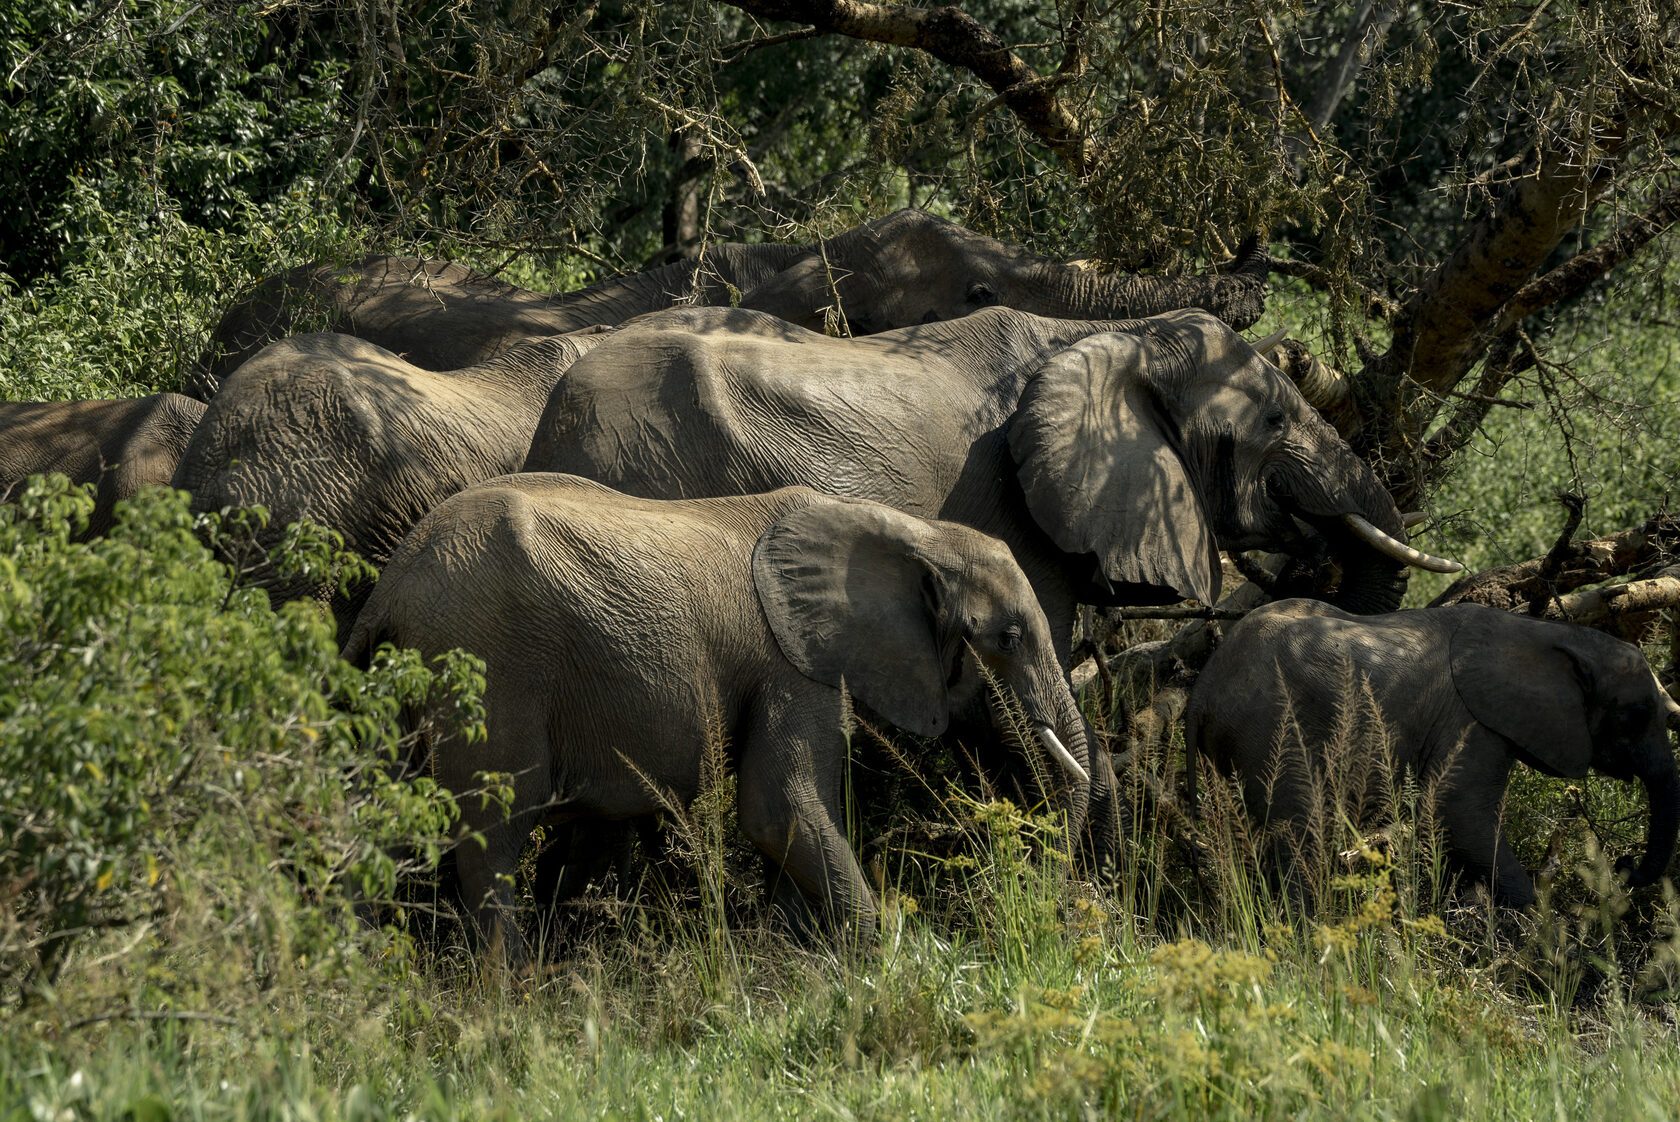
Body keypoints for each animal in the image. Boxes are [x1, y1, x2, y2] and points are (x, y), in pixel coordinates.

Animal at [341, 474, 1093, 957]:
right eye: (1009, 637)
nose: (1047, 910)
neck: (912, 531)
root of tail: (392, 588)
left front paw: (797, 953)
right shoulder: (791, 661)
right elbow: (778, 807)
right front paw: (892, 960)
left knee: (381, 826)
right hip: (489, 668)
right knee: (490, 837)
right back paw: (511, 994)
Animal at [1185, 599, 1680, 908]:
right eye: (1636, 715)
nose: (1625, 865)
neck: (1549, 635)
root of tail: (1204, 687)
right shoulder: (1471, 721)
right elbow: (1455, 812)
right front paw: (1538, 929)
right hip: (1273, 729)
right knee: (1301, 834)